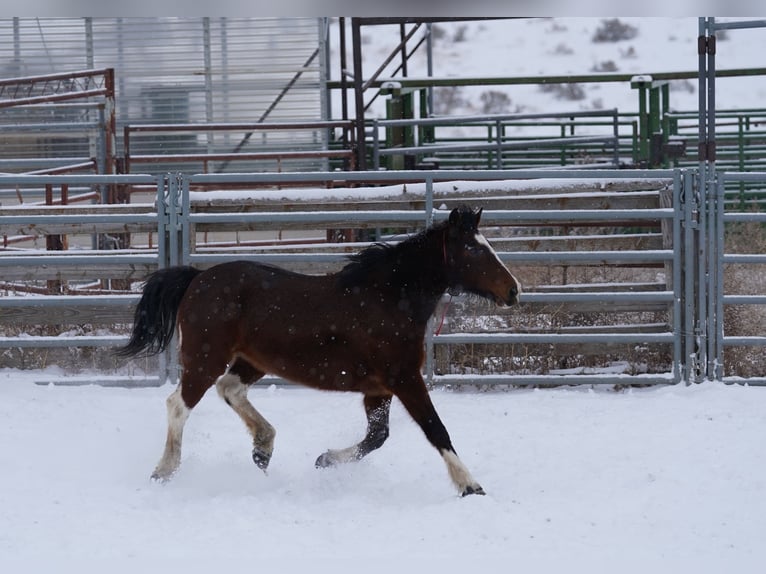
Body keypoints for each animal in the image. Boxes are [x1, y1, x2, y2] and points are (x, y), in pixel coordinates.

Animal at [118, 207, 520, 500]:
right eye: (475, 249)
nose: (513, 290)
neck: (390, 299)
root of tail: (197, 278)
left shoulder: (378, 389)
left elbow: (378, 436)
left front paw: (325, 460)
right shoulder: (404, 379)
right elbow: (436, 429)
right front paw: (470, 485)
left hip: (252, 360)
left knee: (230, 388)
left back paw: (263, 448)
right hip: (205, 358)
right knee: (179, 404)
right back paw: (164, 470)